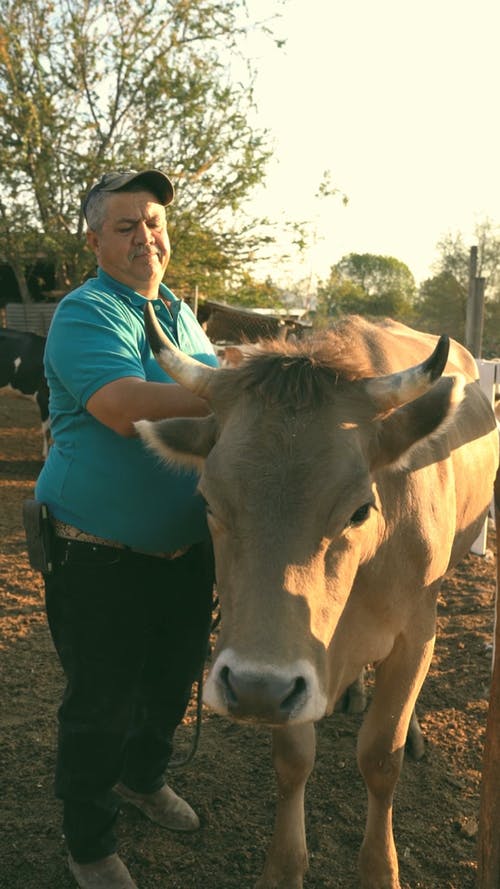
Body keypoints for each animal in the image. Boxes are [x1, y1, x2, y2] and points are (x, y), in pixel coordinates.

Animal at [135, 306, 498, 888]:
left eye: (359, 509)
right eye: (207, 502)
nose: (255, 688)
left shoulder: (415, 634)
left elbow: (382, 755)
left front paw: (380, 869)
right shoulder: (298, 666)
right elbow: (292, 759)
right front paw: (284, 866)